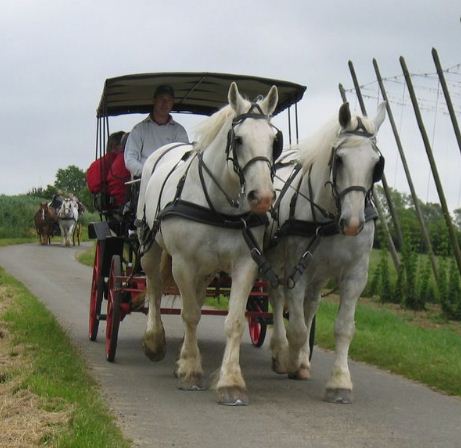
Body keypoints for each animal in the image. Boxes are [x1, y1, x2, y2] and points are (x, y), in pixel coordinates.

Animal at [136, 81, 280, 406]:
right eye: (238, 139)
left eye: (274, 140)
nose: (262, 197)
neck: (219, 205)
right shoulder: (182, 263)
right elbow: (189, 315)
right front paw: (190, 370)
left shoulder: (246, 264)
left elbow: (234, 321)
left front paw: (231, 381)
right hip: (150, 244)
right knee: (153, 287)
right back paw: (154, 340)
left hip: (206, 268)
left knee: (197, 297)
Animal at [264, 101, 386, 402]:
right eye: (339, 159)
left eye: (377, 164)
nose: (352, 223)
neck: (330, 218)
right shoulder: (296, 272)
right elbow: (296, 329)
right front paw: (289, 359)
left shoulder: (356, 275)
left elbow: (344, 328)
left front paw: (339, 381)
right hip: (278, 263)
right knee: (278, 298)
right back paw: (281, 351)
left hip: (319, 273)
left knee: (311, 305)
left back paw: (303, 362)